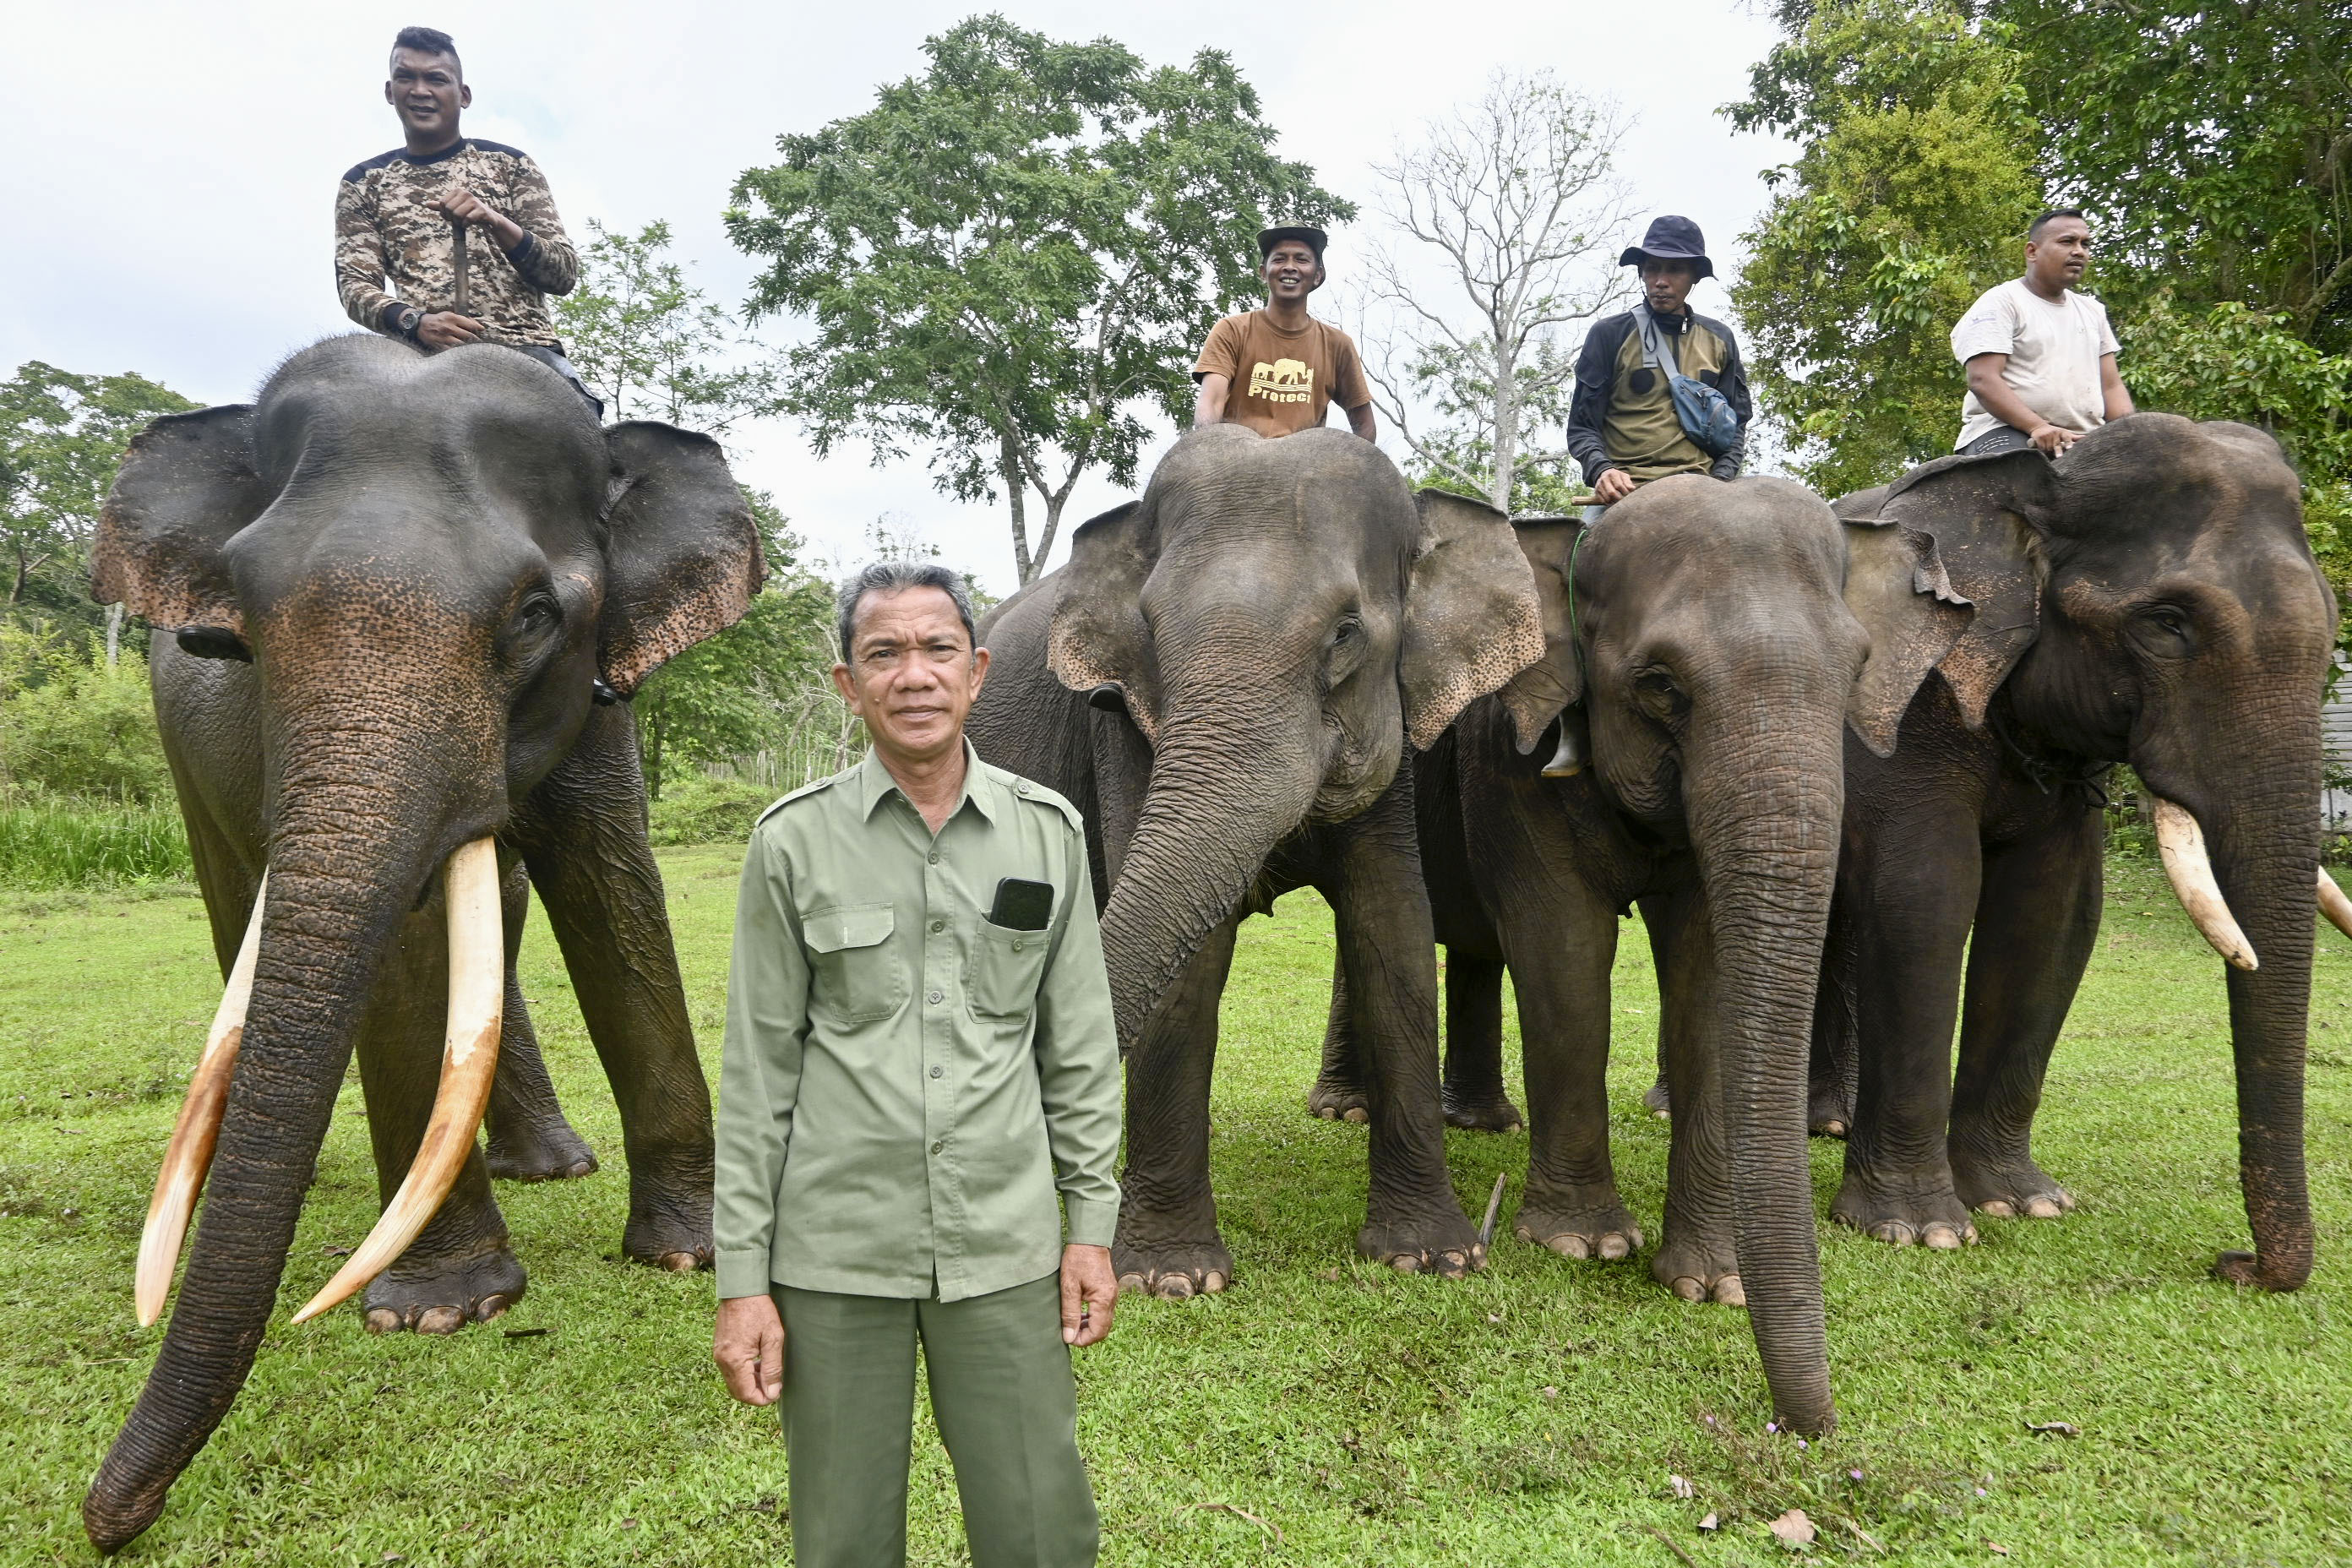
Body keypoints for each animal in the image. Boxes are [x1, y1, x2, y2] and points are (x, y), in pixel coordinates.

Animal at [75, 338, 762, 1551]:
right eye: (235, 630)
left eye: (534, 616)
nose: (107, 1520)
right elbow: (405, 951)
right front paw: (446, 1312)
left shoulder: (598, 693)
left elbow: (612, 881)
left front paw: (691, 1253)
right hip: (181, 760)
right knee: (238, 910)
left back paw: (550, 1166)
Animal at [964, 425, 1552, 1298]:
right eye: (1150, 628)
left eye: (1345, 633)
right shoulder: (1124, 727)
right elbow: (1192, 964)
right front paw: (1171, 1279)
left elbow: (1394, 928)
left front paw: (1431, 1258)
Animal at [1796, 416, 2333, 1288]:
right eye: (2167, 624)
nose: (2236, 1264)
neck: (2032, 483)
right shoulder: (1907, 708)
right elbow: (1924, 898)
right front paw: (1919, 1232)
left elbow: (2053, 914)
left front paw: (2024, 1205)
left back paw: (1829, 1125)